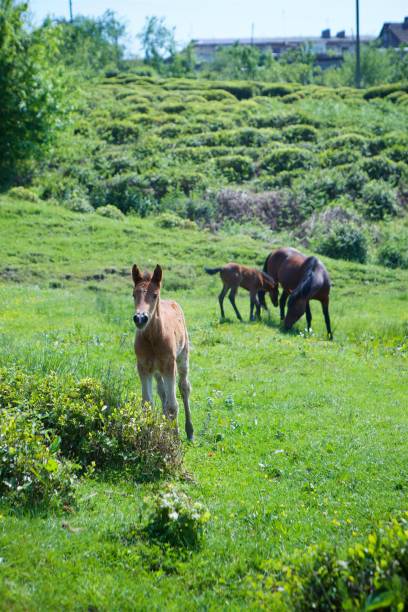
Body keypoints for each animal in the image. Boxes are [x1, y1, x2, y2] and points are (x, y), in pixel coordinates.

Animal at [131, 262, 194, 440]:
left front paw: (176, 440)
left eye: (154, 295)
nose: (140, 318)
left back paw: (189, 431)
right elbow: (147, 404)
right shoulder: (143, 367)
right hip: (157, 371)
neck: (153, 339)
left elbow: (173, 405)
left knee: (184, 387)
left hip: (182, 357)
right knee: (162, 393)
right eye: (133, 295)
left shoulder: (169, 365)